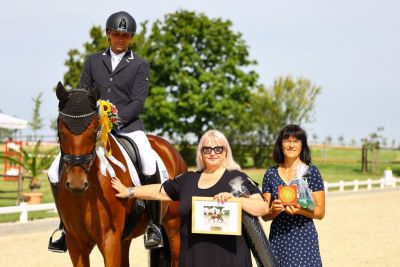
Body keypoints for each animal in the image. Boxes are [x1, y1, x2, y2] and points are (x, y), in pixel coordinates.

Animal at [54, 82, 188, 267]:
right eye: (61, 131)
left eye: (95, 130)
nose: (77, 184)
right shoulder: (76, 243)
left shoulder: (110, 240)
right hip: (125, 238)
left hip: (173, 224)